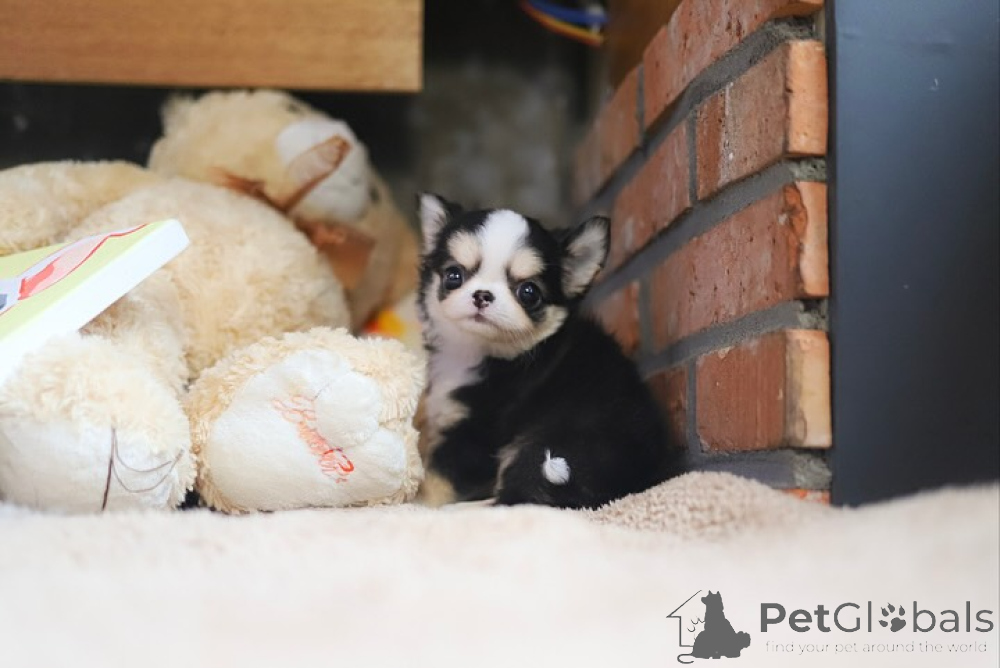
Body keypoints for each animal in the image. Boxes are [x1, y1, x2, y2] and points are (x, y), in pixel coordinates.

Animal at [415, 194, 683, 508]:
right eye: (453, 275)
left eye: (529, 293)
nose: (483, 295)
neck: (478, 351)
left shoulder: (474, 436)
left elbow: (438, 478)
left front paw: (419, 504)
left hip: (543, 448)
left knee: (517, 497)